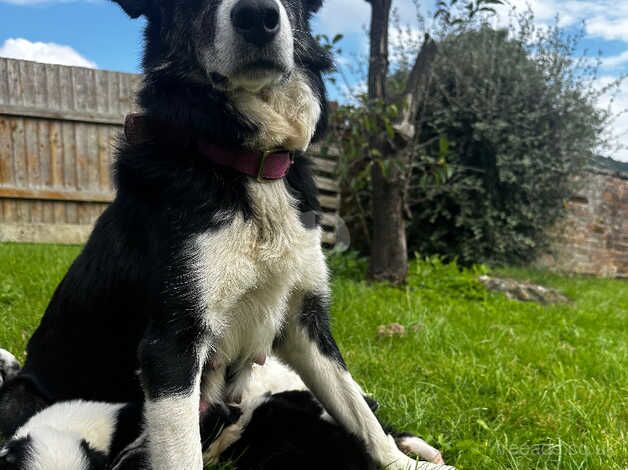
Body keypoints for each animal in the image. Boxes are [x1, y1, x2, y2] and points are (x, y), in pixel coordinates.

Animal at [0, 0, 452, 470]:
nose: (257, 18)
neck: (248, 164)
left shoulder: (303, 320)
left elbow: (360, 413)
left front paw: (402, 463)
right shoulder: (172, 346)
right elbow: (184, 454)